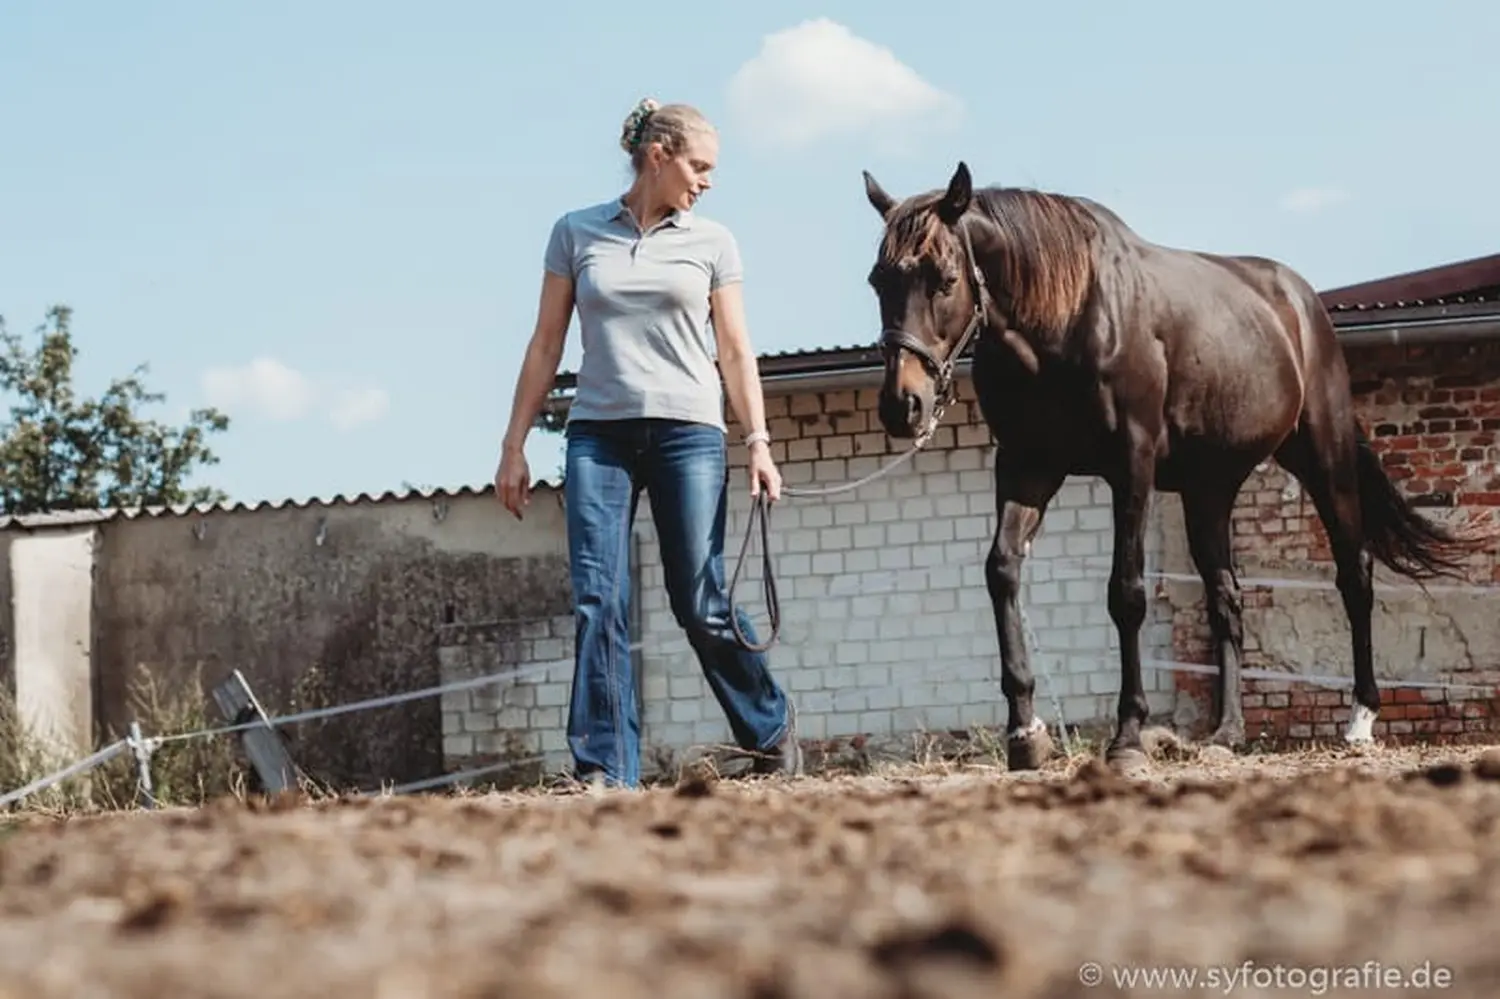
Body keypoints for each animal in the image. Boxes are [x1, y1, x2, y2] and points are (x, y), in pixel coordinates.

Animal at [864, 161, 1494, 768]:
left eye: (944, 279)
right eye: (878, 280)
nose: (903, 404)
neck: (1067, 317)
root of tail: (1301, 302)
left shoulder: (1132, 466)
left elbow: (1127, 593)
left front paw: (1128, 737)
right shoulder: (1027, 466)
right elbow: (1001, 572)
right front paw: (1025, 733)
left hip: (1324, 457)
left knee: (1354, 574)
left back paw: (1360, 719)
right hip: (1208, 489)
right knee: (1226, 597)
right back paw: (1227, 732)